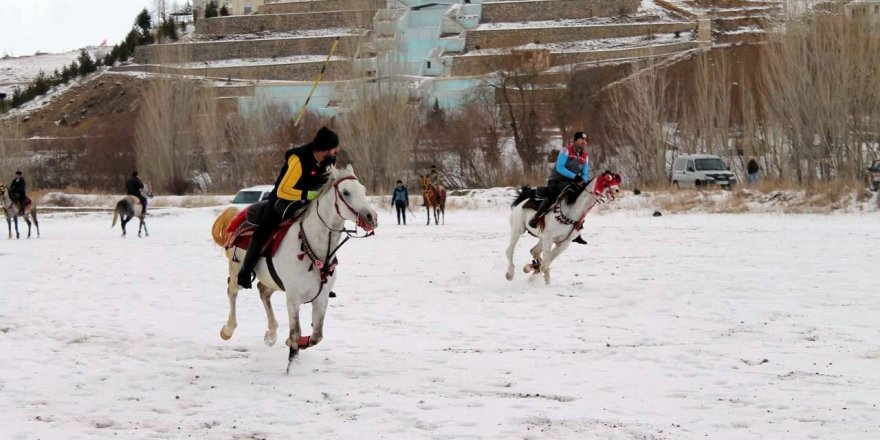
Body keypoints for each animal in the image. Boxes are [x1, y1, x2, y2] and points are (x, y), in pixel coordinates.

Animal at [215, 165, 380, 372]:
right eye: (345, 192)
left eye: (363, 190)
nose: (371, 217)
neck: (315, 248)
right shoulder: (293, 298)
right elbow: (295, 331)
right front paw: (292, 364)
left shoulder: (321, 297)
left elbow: (317, 335)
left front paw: (295, 345)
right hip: (238, 271)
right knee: (232, 290)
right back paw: (228, 330)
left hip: (273, 281)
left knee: (263, 291)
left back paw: (271, 334)